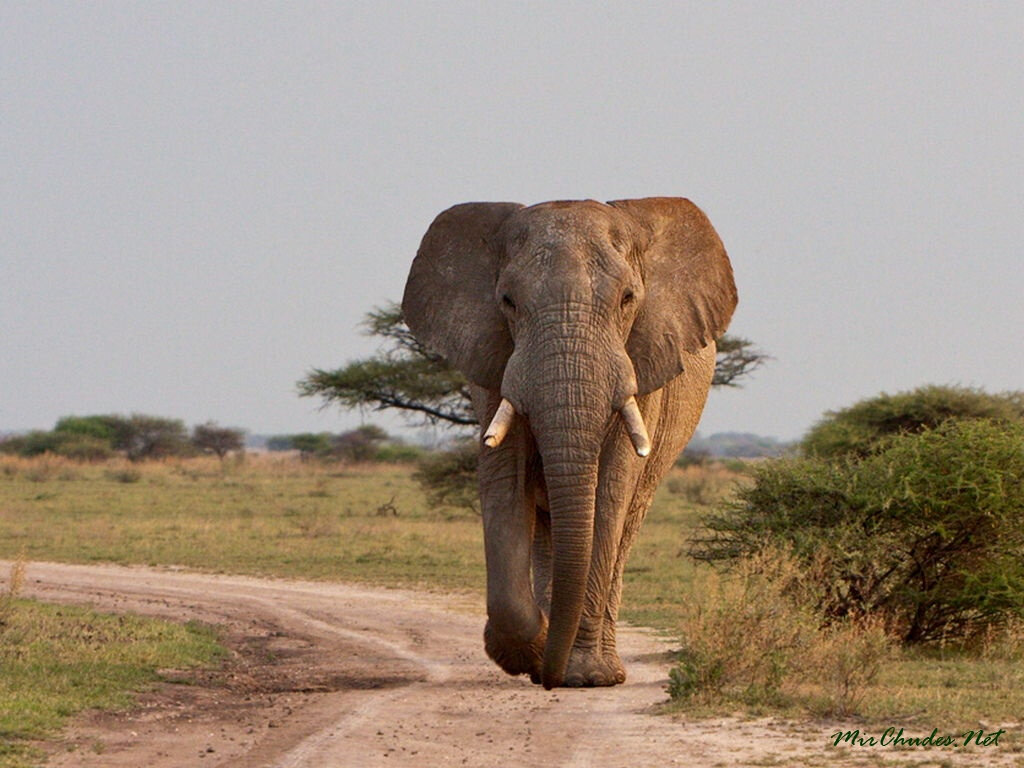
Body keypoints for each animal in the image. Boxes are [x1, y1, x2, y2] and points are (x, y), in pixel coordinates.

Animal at [401, 198, 737, 692]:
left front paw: (584, 676)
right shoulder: (495, 363)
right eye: (508, 302)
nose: (550, 679)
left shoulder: (642, 364)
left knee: (625, 526)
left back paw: (600, 669)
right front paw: (534, 650)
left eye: (628, 299)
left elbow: (610, 489)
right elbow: (504, 478)